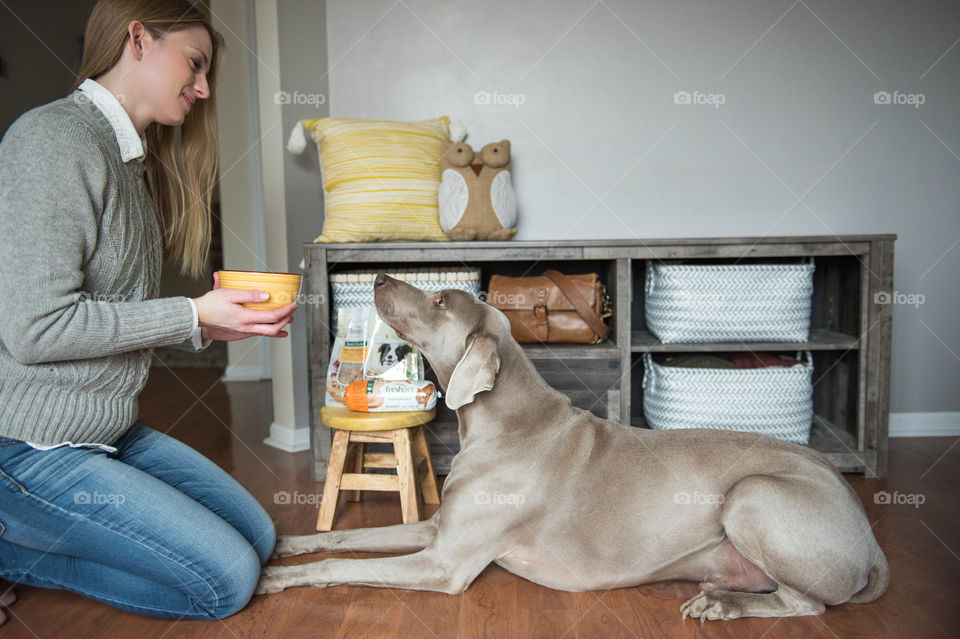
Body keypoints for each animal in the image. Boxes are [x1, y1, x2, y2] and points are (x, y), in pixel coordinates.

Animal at [253, 274, 884, 620]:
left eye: (439, 302)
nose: (381, 278)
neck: (506, 424)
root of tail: (872, 542)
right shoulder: (436, 530)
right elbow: (341, 537)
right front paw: (283, 545)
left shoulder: (444, 563)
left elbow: (340, 563)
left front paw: (271, 579)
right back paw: (721, 591)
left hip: (751, 494)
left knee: (809, 603)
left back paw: (724, 606)